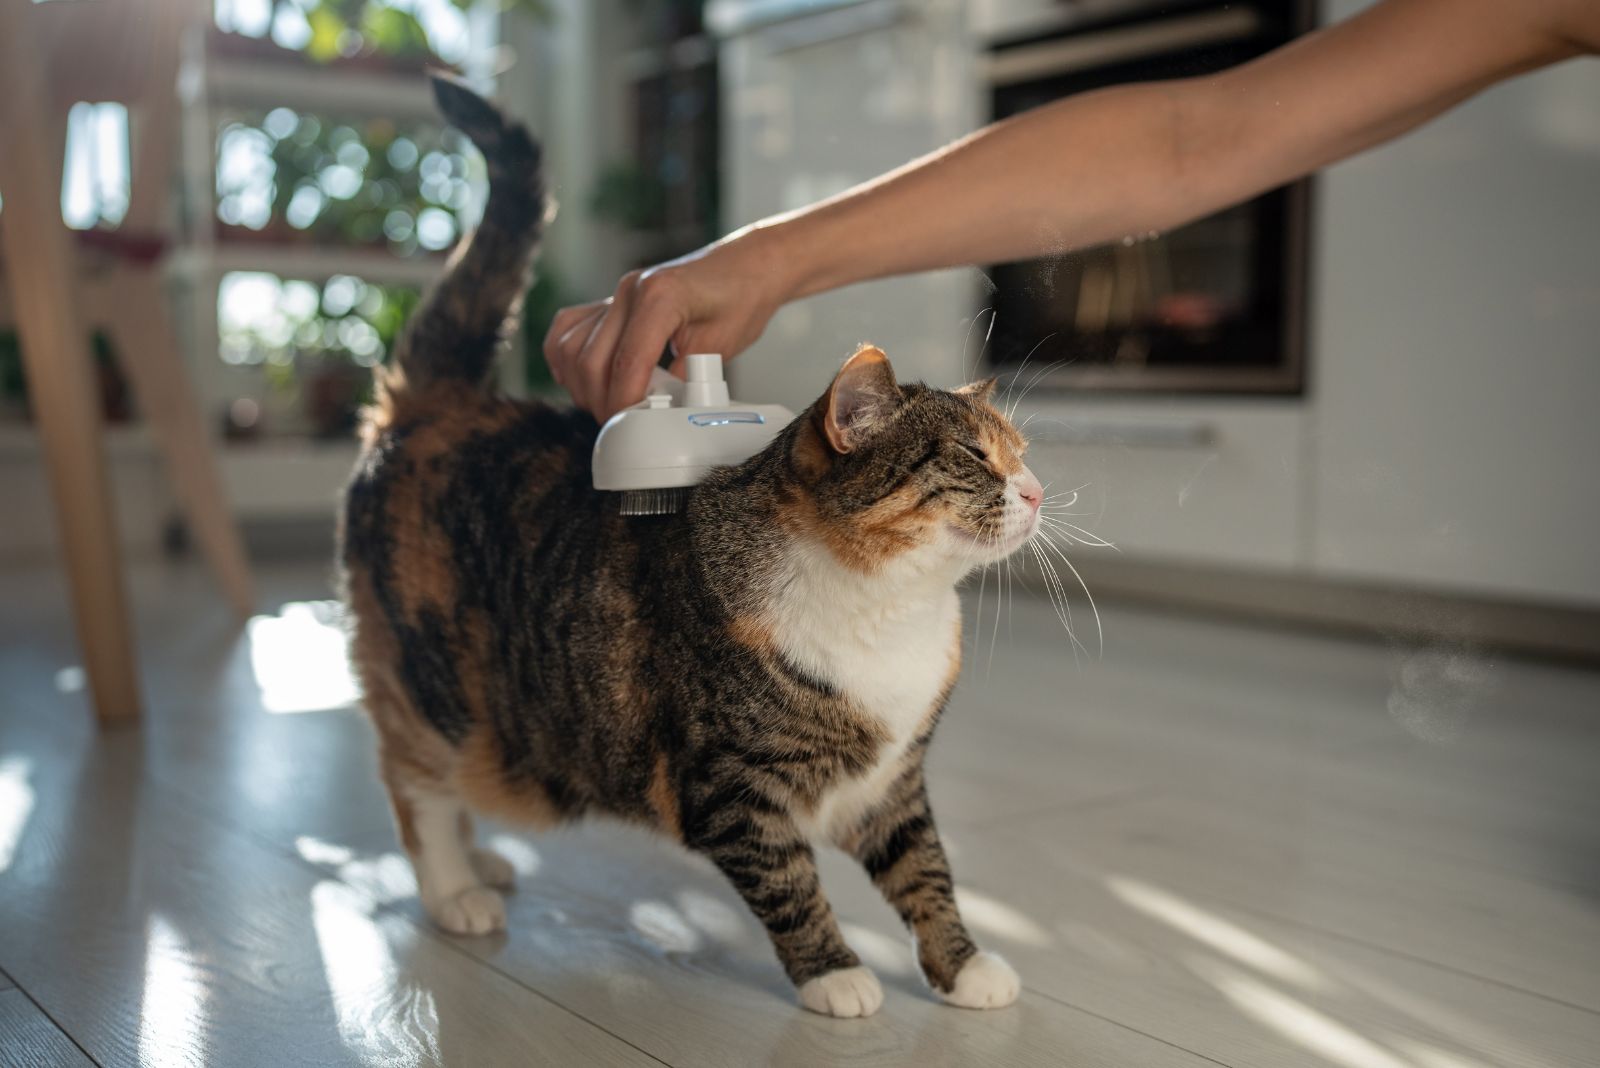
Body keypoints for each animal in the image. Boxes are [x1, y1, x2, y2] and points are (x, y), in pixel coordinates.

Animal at [342, 77, 1043, 1016]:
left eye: (1023, 452)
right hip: (430, 682)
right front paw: (838, 976)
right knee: (413, 784)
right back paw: (455, 888)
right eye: (973, 457)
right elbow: (790, 883)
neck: (894, 606)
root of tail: (434, 403)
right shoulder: (730, 789)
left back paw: (482, 859)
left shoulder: (892, 783)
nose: (1037, 492)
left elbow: (926, 871)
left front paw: (965, 967)